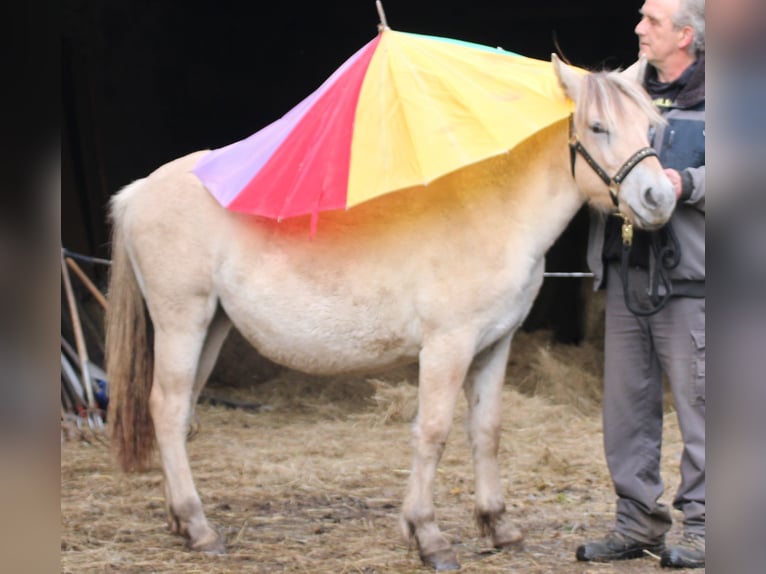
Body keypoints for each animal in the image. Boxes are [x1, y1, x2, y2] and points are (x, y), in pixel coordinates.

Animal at [105, 55, 676, 572]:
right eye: (598, 126)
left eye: (650, 125)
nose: (660, 197)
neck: (493, 216)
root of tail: (140, 190)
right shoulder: (448, 347)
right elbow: (433, 432)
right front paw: (428, 537)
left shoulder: (495, 345)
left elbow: (486, 431)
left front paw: (498, 526)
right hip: (182, 321)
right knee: (167, 408)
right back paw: (198, 527)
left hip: (213, 327)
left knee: (180, 413)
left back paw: (181, 523)